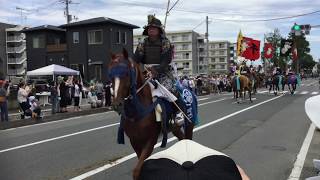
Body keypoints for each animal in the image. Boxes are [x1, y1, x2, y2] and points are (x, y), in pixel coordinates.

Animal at [108, 48, 195, 179]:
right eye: (111, 75)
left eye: (127, 73)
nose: (116, 104)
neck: (138, 112)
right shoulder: (135, 141)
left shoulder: (150, 140)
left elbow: (137, 170)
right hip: (175, 128)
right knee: (182, 139)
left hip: (189, 123)